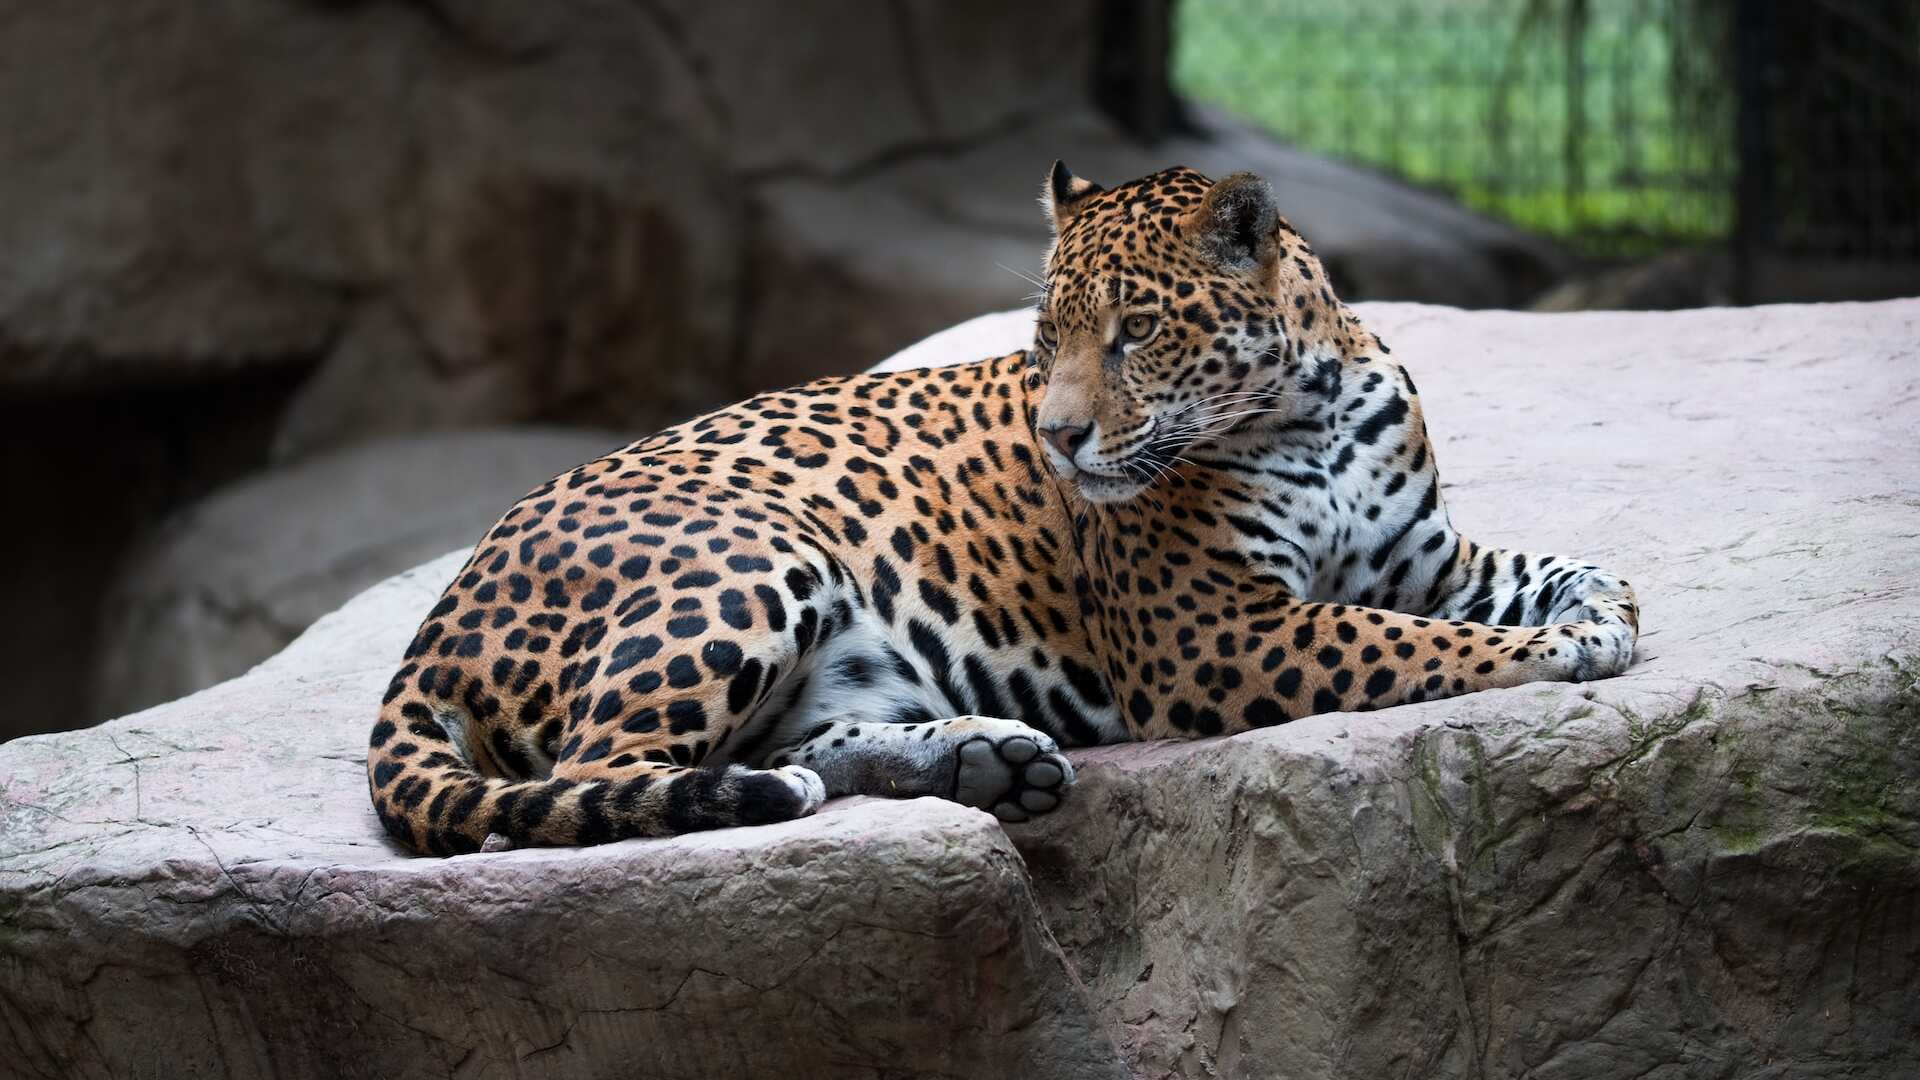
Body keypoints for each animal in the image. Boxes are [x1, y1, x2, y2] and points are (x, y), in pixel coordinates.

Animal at [367, 163, 1640, 856]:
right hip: (751, 559)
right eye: (1045, 338)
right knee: (589, 773)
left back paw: (988, 759)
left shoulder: (1419, 553)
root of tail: (436, 620)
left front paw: (1599, 613)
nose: (1059, 438)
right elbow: (1397, 642)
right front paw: (1546, 654)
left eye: (1136, 331)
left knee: (790, 746)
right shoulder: (1213, 632)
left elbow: (1552, 570)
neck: (1303, 409)